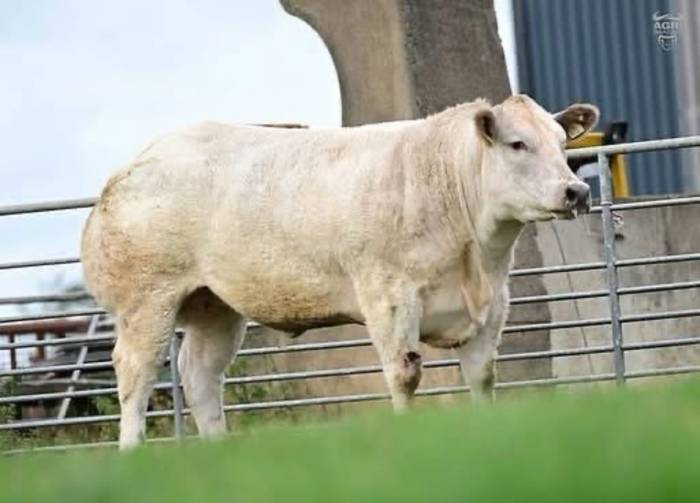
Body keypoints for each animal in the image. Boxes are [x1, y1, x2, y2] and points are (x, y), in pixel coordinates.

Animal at [81, 94, 598, 449]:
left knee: (201, 377)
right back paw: (132, 452)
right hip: (148, 299)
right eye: (517, 143)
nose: (576, 191)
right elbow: (405, 374)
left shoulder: (490, 308)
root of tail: (133, 165)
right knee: (136, 373)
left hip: (215, 306)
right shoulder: (389, 297)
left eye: (561, 143)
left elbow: (483, 377)